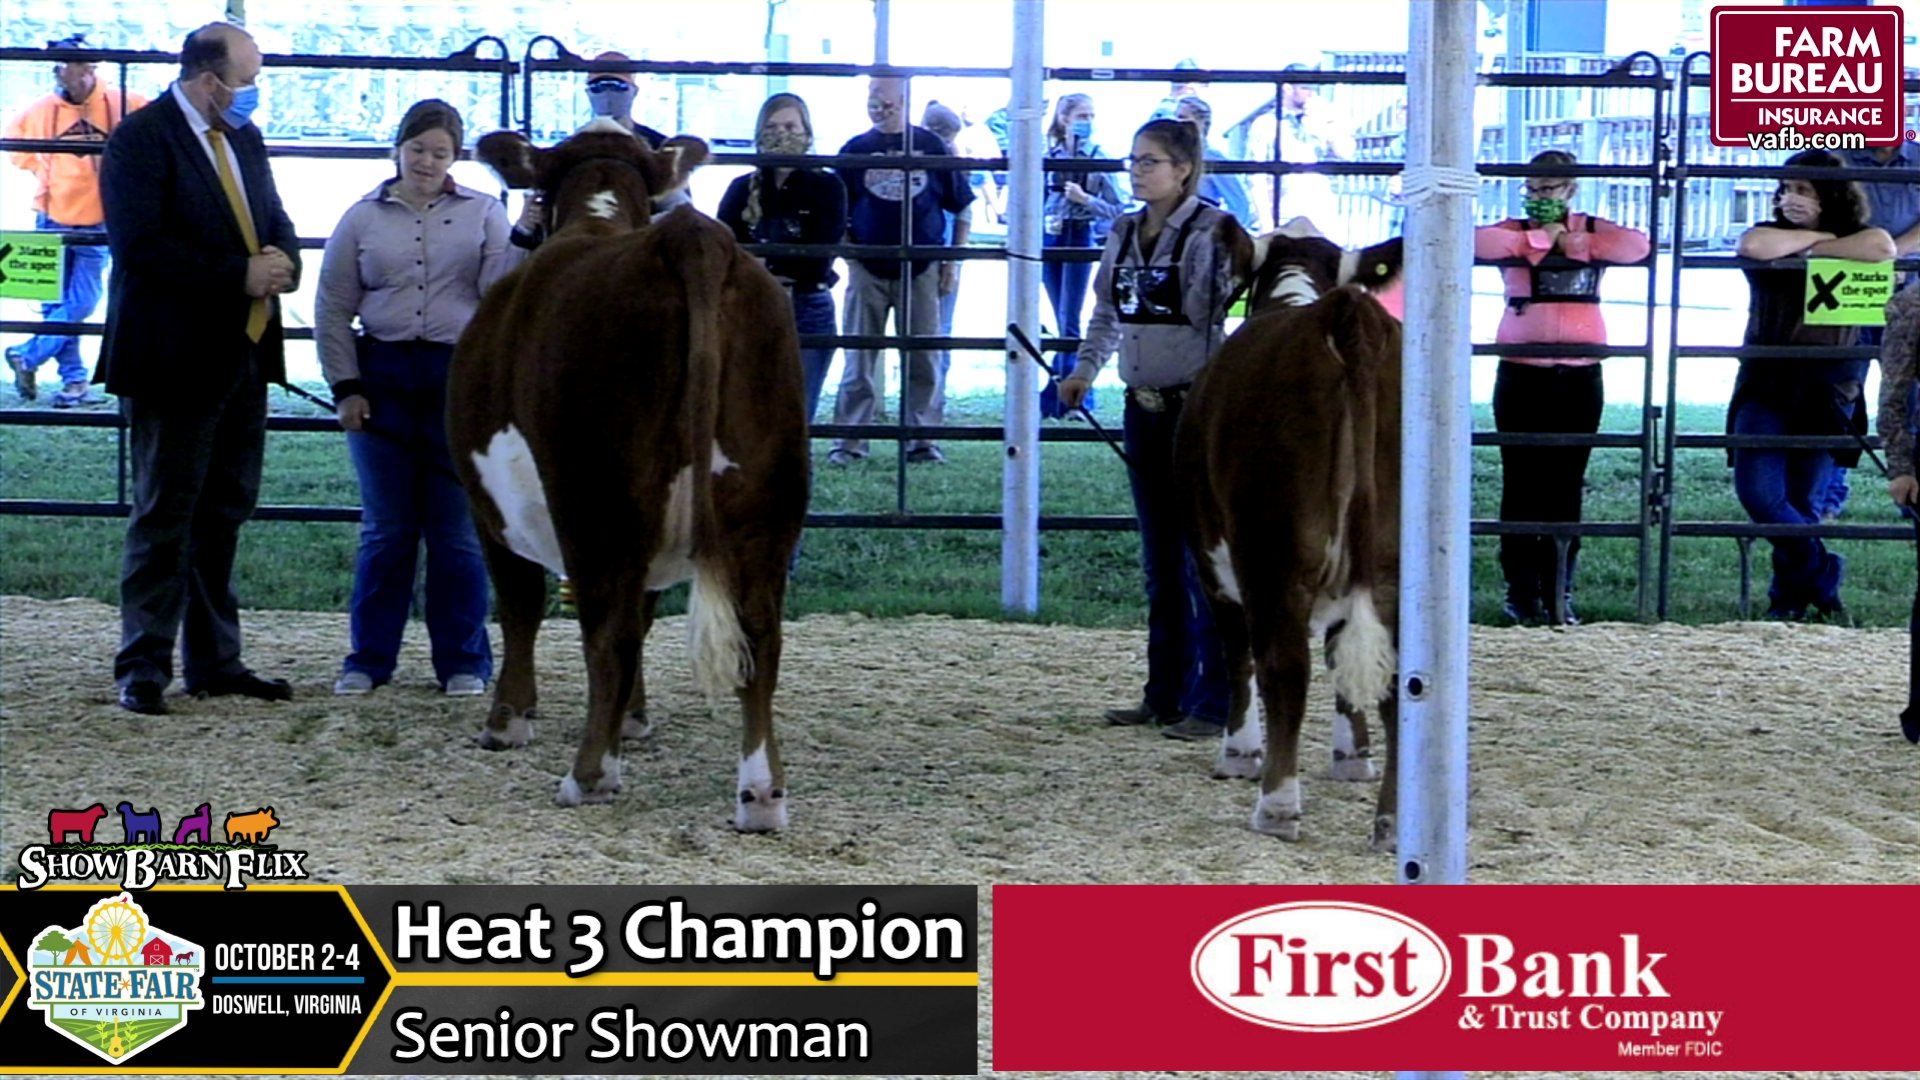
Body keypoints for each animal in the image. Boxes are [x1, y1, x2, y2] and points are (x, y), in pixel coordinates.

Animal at [456, 119, 810, 822]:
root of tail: (689, 237)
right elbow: (645, 616)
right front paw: (636, 719)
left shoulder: (488, 507)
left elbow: (519, 603)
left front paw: (508, 721)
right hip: (768, 499)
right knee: (760, 635)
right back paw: (760, 794)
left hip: (596, 500)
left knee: (607, 631)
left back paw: (590, 774)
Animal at [1175, 214, 1405, 845]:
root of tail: (1344, 314)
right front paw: (1352, 756)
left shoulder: (1213, 557)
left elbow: (1238, 655)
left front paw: (1239, 752)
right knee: (1401, 680)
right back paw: (1392, 819)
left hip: (1271, 553)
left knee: (1283, 669)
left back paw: (1276, 805)